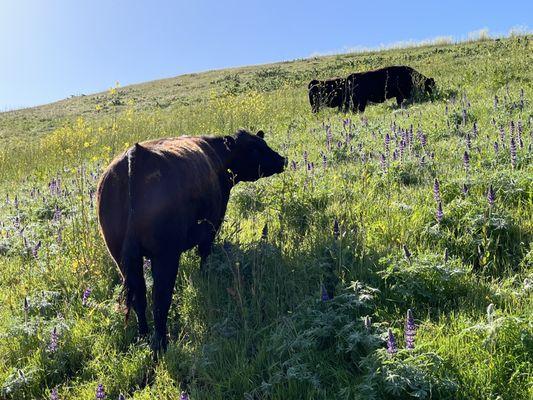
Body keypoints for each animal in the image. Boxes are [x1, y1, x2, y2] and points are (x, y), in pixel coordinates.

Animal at [97, 130, 284, 352]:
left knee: (139, 297)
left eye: (263, 143)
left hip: (121, 257)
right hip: (166, 255)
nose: (282, 160)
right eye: (254, 148)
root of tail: (135, 156)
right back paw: (160, 344)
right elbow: (204, 256)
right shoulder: (212, 226)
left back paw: (143, 336)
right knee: (160, 298)